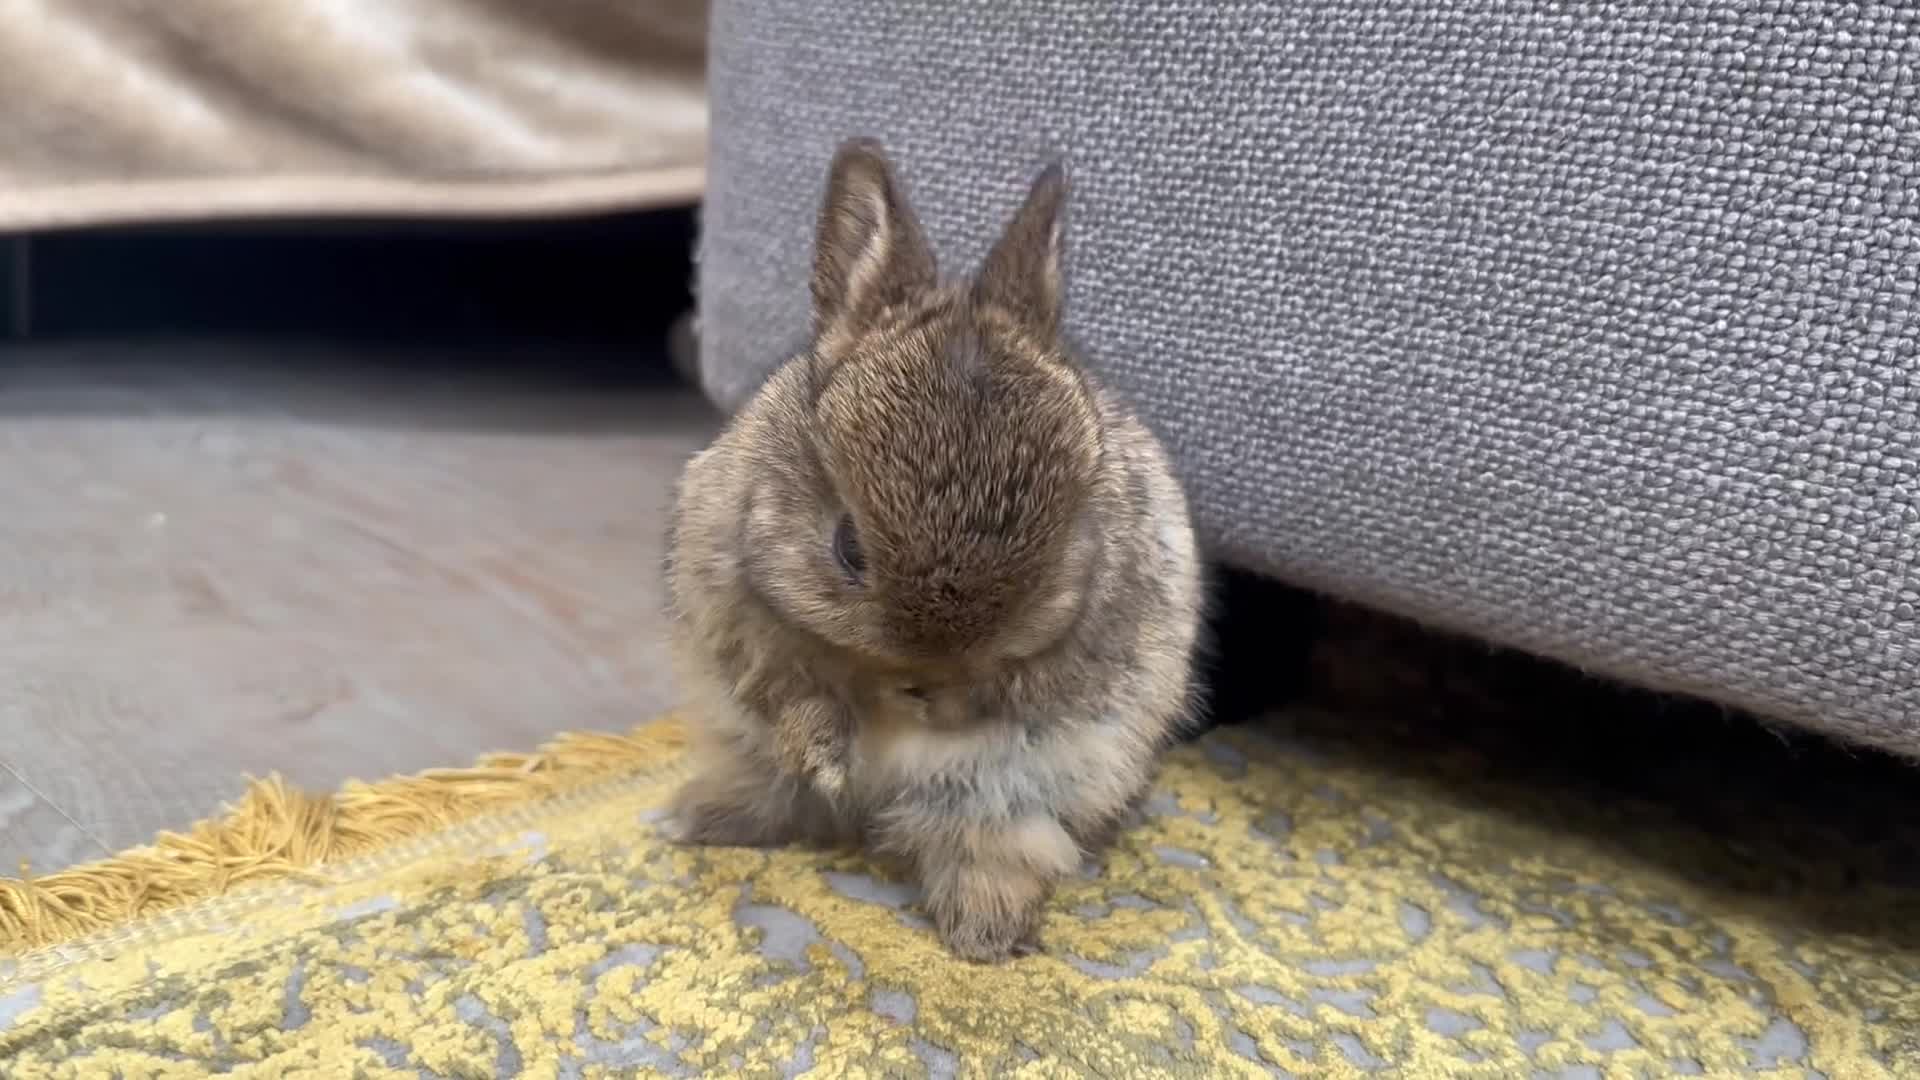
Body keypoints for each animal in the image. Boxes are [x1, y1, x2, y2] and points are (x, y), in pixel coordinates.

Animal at [663, 138, 1203, 963]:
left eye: (1054, 559)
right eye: (848, 548)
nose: (931, 673)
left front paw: (937, 708)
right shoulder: (739, 622)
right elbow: (791, 686)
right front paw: (829, 755)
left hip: (1007, 806)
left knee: (986, 852)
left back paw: (984, 936)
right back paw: (699, 819)